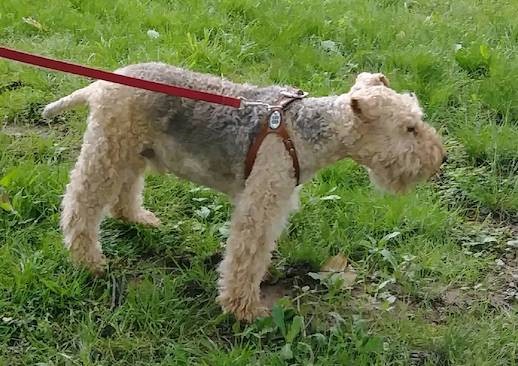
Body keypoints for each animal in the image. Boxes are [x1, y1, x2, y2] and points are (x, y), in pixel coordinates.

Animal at [42, 64, 446, 322]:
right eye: (410, 127)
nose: (440, 159)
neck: (308, 131)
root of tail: (102, 84)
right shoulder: (262, 202)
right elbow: (246, 258)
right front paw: (244, 310)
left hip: (133, 150)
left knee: (124, 191)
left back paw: (138, 218)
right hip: (108, 149)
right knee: (80, 203)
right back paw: (89, 261)